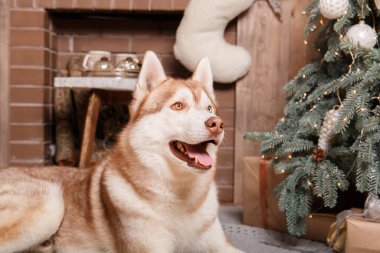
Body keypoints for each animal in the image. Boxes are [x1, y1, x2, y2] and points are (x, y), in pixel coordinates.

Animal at [0, 51, 243, 253]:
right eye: (178, 106)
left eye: (209, 108)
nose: (217, 123)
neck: (180, 194)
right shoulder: (148, 248)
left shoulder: (221, 245)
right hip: (50, 204)